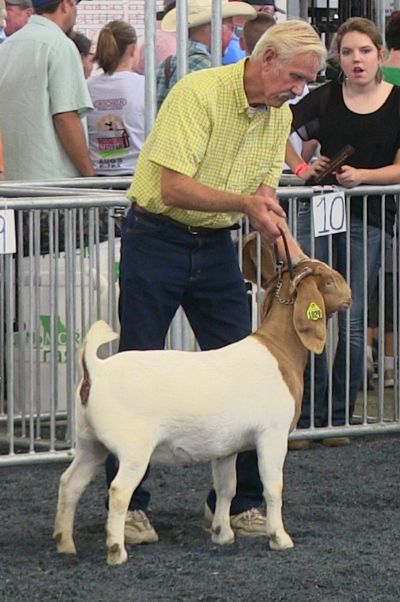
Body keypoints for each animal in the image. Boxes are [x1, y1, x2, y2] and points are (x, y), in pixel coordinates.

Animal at [52, 231, 350, 564]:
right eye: (329, 281)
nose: (350, 294)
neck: (278, 350)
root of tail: (96, 370)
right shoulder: (271, 436)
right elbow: (273, 487)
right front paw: (279, 537)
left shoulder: (227, 447)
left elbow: (226, 488)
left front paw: (223, 534)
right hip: (133, 449)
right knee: (118, 492)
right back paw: (117, 550)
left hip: (90, 443)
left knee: (70, 483)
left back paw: (65, 543)